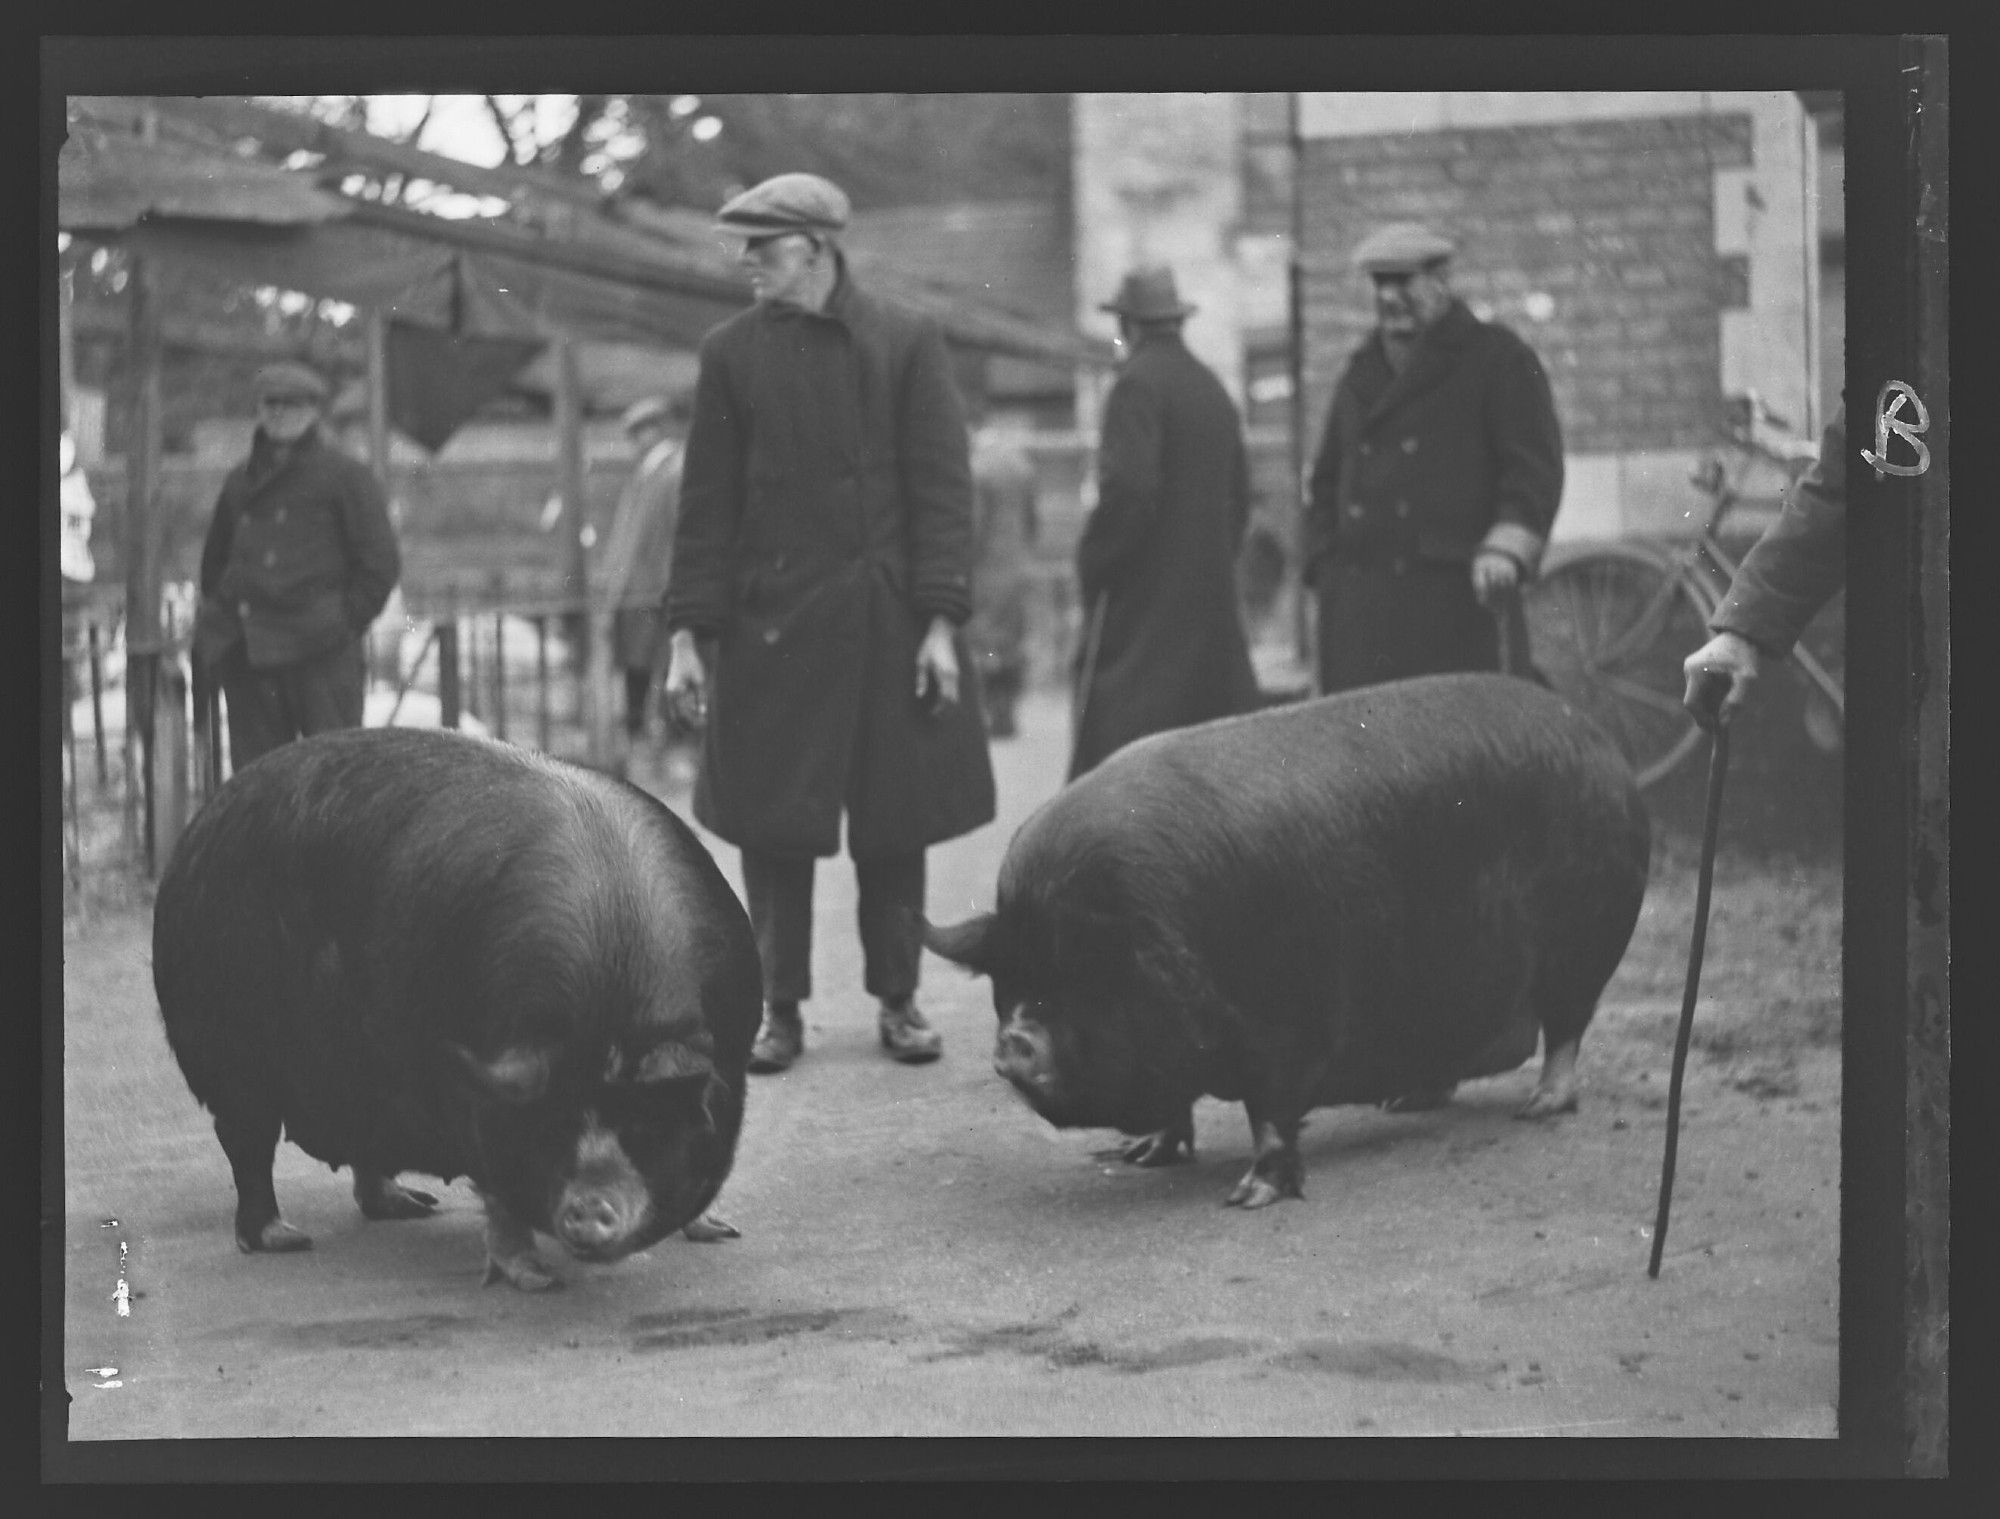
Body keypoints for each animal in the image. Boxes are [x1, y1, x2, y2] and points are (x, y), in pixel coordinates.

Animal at [152, 719, 764, 1279]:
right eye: (556, 1124)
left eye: (644, 1127)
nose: (589, 1210)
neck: (616, 993)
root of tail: (197, 829)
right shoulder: (483, 1089)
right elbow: (497, 1192)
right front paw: (533, 1279)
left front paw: (719, 1231)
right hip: (228, 1060)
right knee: (247, 1147)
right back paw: (286, 1239)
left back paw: (415, 1206)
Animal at [928, 675, 1648, 1207]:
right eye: (1011, 980)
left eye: (1080, 974)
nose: (1014, 1038)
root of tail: (1601, 740)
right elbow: (1178, 1106)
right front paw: (1141, 1157)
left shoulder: (1288, 1023)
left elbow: (1271, 1111)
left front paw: (1248, 1196)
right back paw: (1405, 1100)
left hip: (1584, 941)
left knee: (1567, 1026)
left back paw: (1538, 1108)